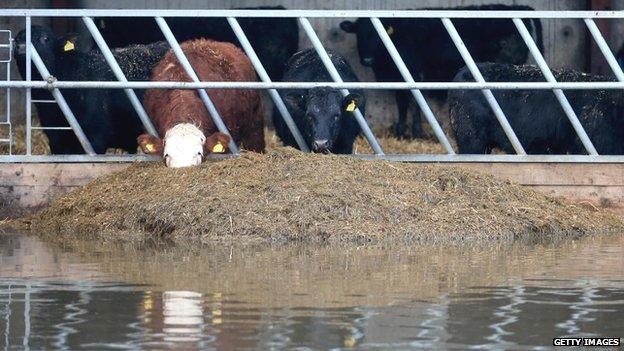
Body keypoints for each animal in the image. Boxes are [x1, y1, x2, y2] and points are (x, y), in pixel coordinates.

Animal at [338, 4, 544, 140]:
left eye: (377, 35)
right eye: (359, 34)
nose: (367, 60)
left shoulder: (414, 73)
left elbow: (414, 102)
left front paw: (415, 132)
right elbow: (402, 103)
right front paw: (401, 131)